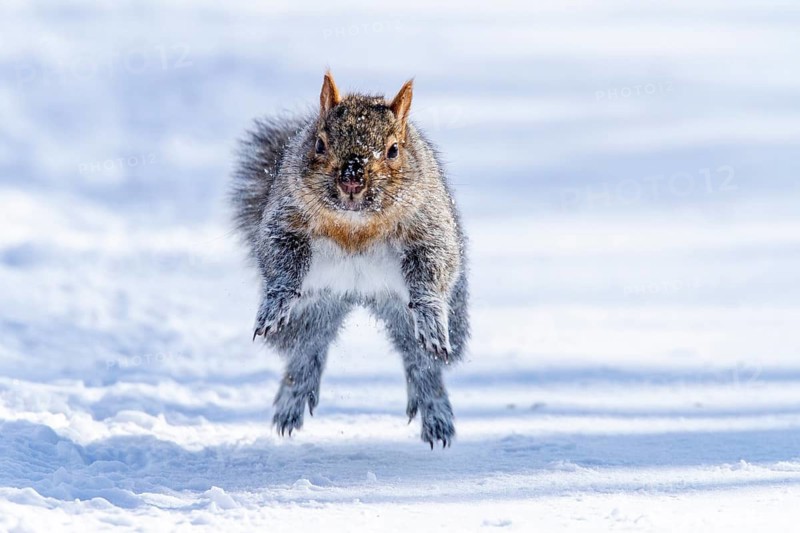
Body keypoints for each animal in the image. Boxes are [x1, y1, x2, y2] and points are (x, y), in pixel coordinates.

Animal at [231, 71, 469, 448]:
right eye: (319, 144)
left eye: (393, 149)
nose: (352, 179)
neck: (355, 227)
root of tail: (356, 294)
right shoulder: (286, 218)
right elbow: (279, 256)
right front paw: (276, 301)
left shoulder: (428, 224)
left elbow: (434, 264)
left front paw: (430, 313)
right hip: (317, 306)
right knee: (308, 348)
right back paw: (292, 400)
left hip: (404, 312)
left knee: (421, 362)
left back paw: (436, 413)